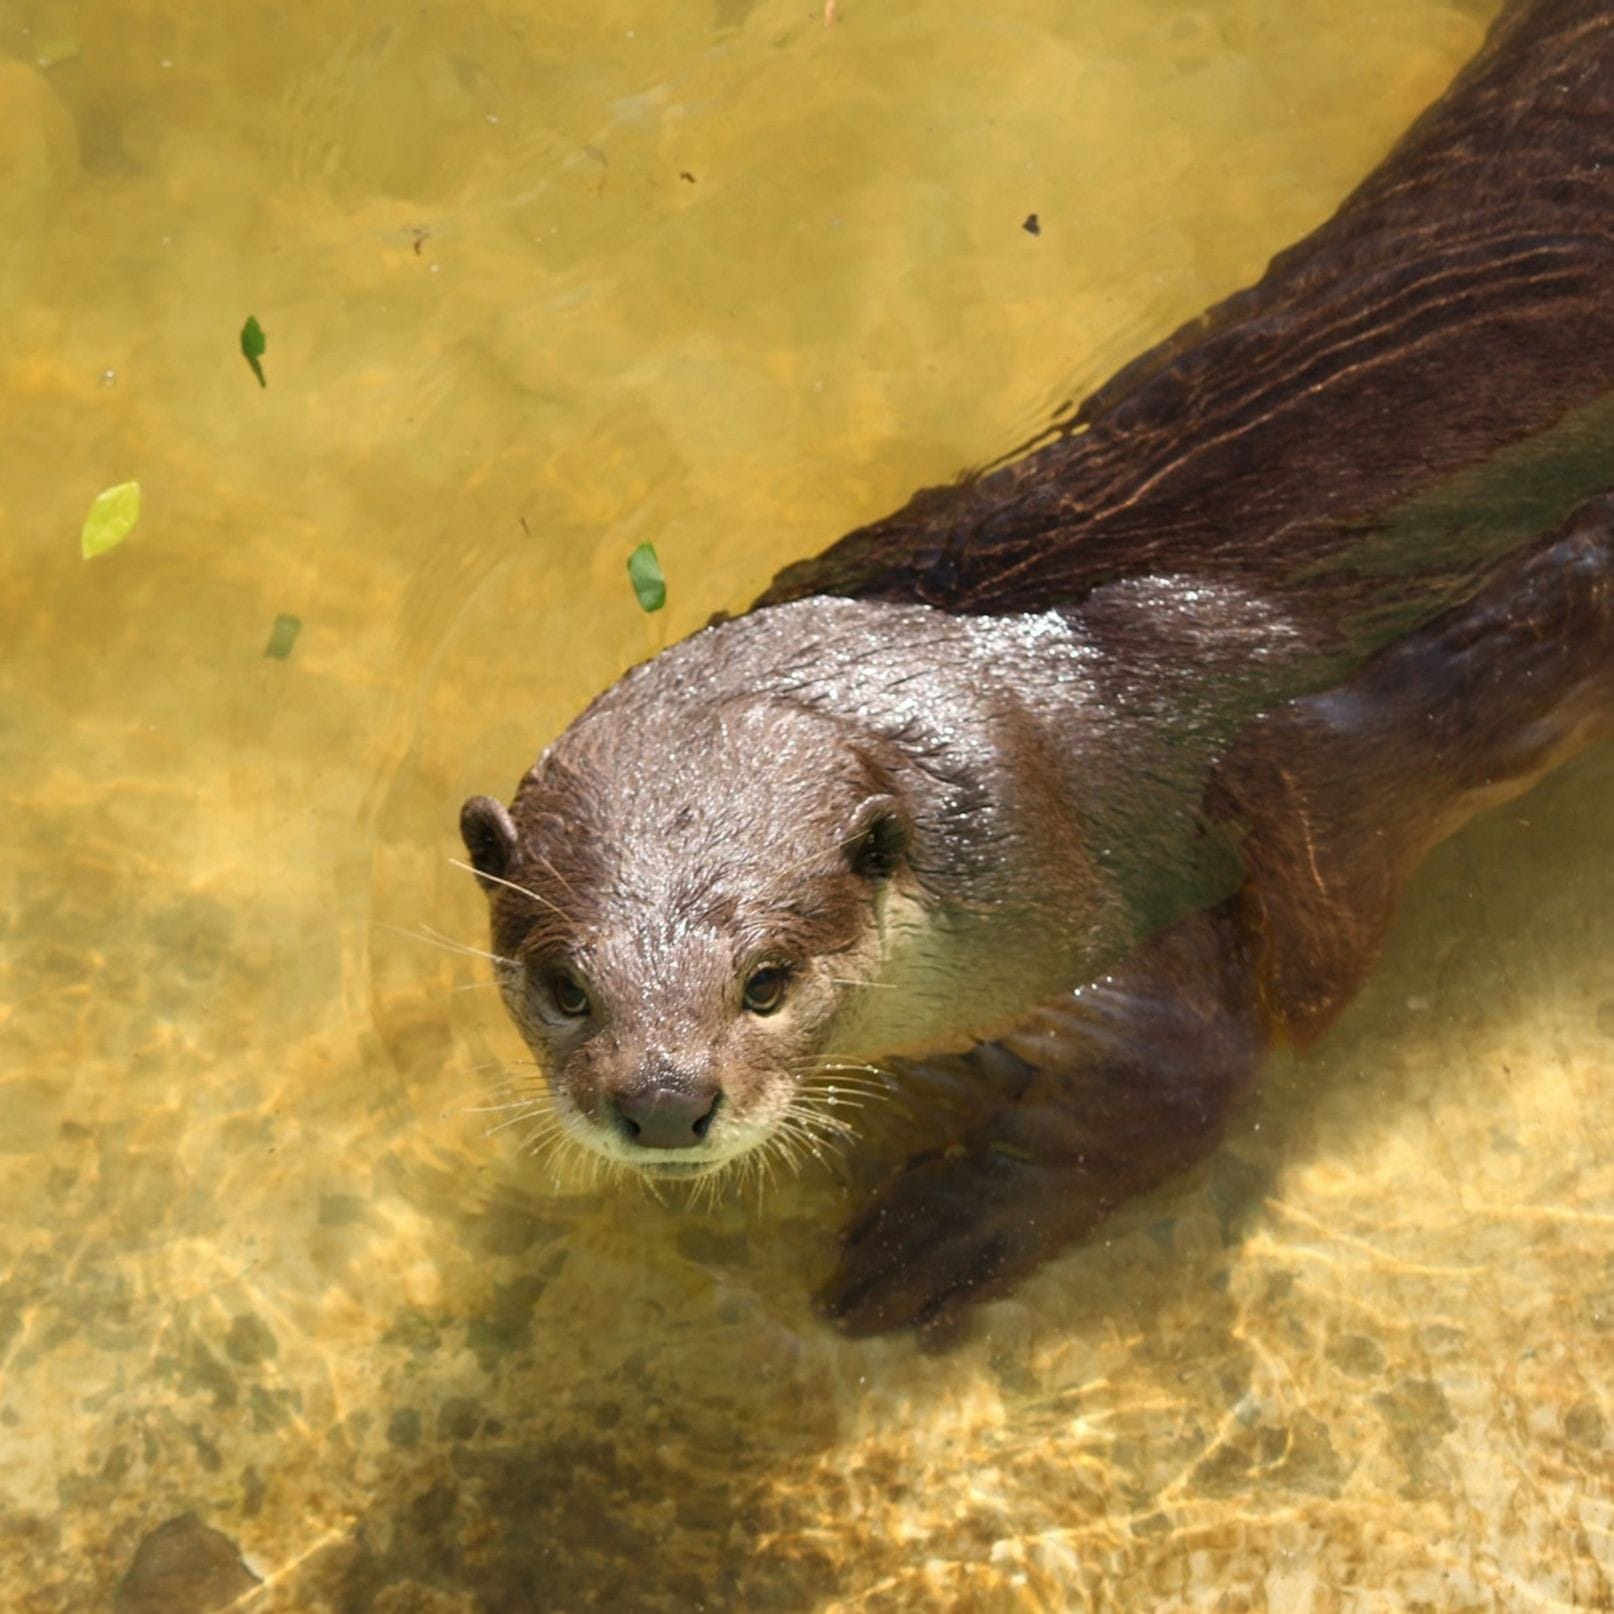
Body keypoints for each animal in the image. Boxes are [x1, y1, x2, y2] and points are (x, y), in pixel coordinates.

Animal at [458, 0, 1614, 1336]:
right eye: (564, 985)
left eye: (767, 981)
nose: (661, 1102)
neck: (1005, 735)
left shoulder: (1117, 932)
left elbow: (1184, 1082)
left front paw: (954, 1227)